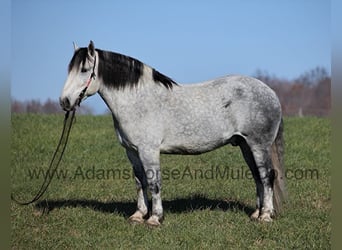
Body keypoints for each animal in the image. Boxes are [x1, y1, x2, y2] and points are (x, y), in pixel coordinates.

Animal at [59, 41, 286, 227]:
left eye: (84, 70)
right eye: (69, 69)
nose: (65, 102)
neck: (138, 100)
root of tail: (271, 92)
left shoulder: (149, 151)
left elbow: (154, 183)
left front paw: (154, 218)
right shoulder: (132, 151)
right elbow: (139, 181)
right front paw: (138, 215)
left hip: (258, 145)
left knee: (267, 176)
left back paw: (266, 216)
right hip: (245, 145)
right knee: (257, 176)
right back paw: (256, 214)